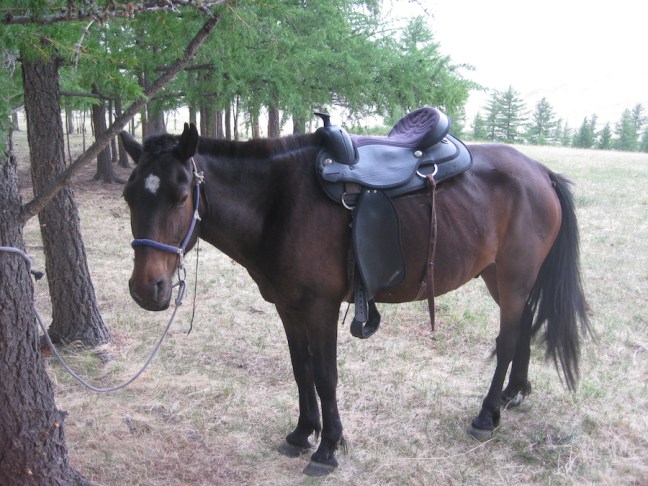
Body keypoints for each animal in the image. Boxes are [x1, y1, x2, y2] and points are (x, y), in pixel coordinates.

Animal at [120, 119, 590, 476]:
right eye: (128, 196)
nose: (147, 289)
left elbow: (326, 376)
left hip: (512, 279)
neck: (278, 203)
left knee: (508, 339)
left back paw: (487, 414)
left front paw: (327, 448)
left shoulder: (320, 308)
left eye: (182, 196)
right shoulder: (288, 307)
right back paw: (514, 394)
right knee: (523, 328)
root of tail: (540, 170)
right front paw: (301, 433)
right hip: (501, 279)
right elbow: (302, 370)